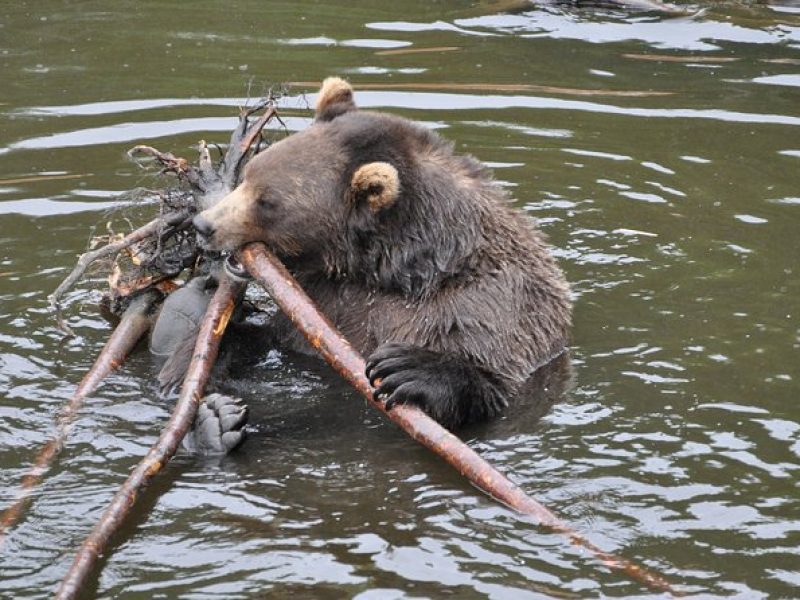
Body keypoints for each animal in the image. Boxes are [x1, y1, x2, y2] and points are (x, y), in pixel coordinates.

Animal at [191, 78, 572, 432]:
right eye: (249, 174)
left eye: (268, 201)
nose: (204, 224)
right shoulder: (323, 303)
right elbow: (265, 338)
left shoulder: (491, 303)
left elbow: (489, 373)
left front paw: (405, 368)